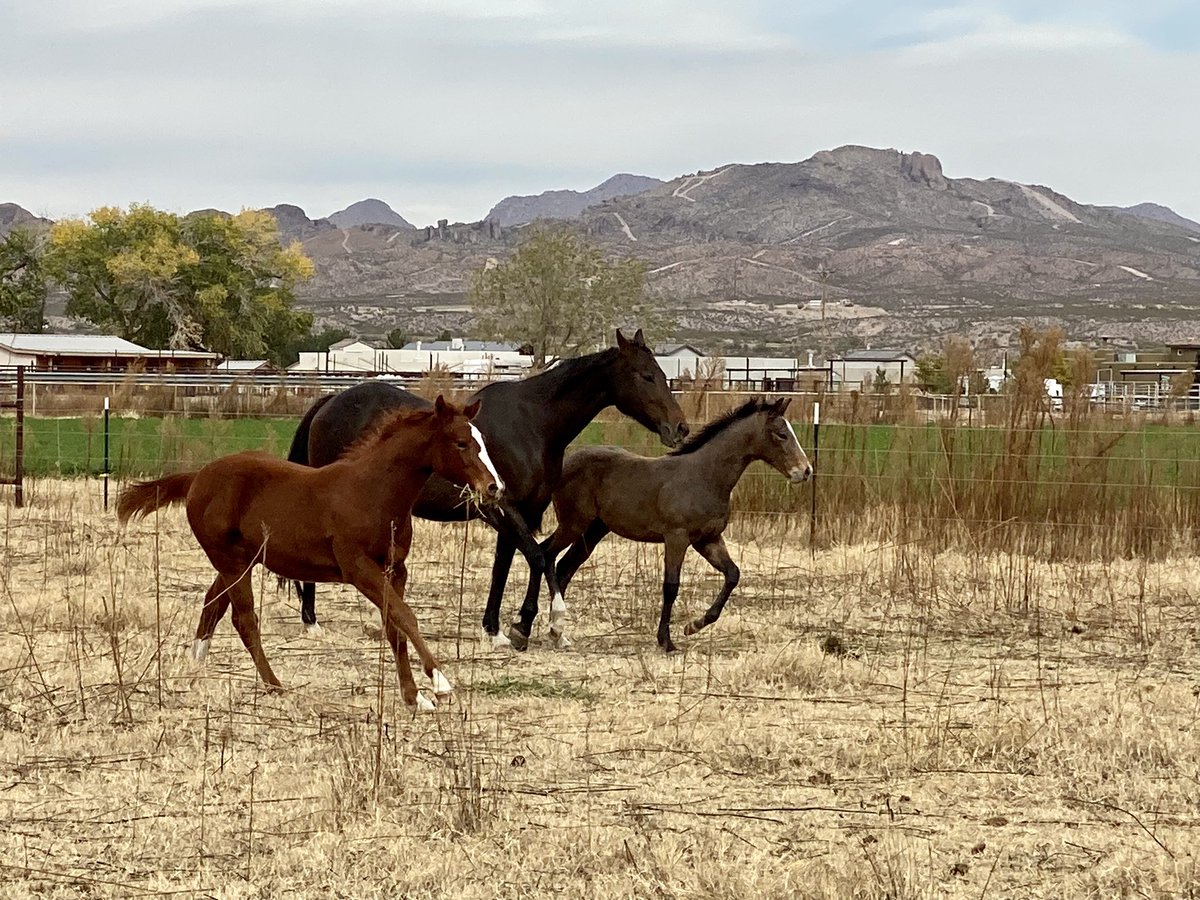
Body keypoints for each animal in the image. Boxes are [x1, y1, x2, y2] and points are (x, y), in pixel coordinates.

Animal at [116, 396, 503, 710]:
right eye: (461, 443)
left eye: (483, 442)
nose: (494, 487)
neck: (372, 492)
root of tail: (198, 477)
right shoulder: (358, 569)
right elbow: (405, 616)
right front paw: (440, 683)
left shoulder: (396, 569)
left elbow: (394, 625)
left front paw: (414, 697)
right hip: (230, 560)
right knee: (244, 620)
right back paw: (274, 685)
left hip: (239, 562)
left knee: (213, 604)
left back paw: (195, 666)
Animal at [287, 328, 689, 650]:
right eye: (646, 375)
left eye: (662, 374)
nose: (680, 428)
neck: (532, 424)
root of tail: (329, 402)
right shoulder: (502, 507)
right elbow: (539, 557)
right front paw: (548, 624)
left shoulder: (524, 511)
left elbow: (507, 565)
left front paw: (496, 629)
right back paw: (311, 622)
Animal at [539, 397, 811, 652]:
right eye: (781, 434)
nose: (806, 471)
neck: (704, 476)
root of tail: (566, 462)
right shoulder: (676, 538)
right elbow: (671, 586)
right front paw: (666, 641)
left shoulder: (708, 539)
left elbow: (733, 574)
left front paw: (694, 626)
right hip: (573, 523)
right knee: (546, 554)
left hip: (593, 531)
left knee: (564, 567)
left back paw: (558, 633)